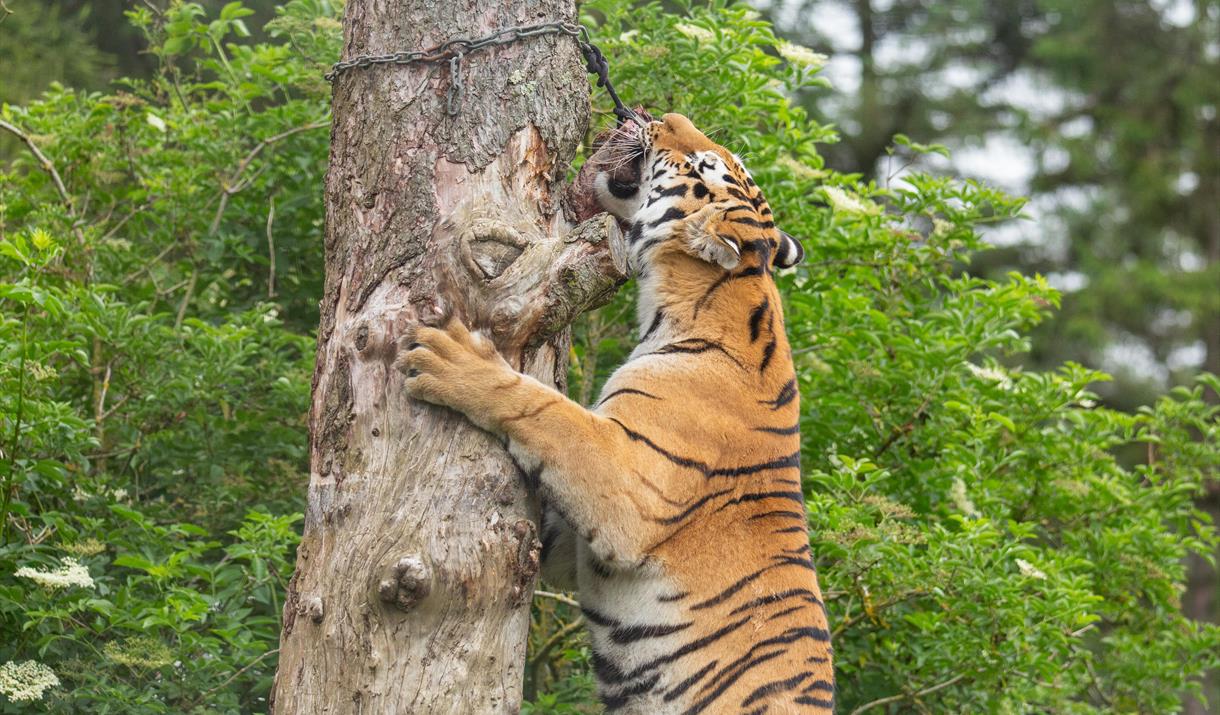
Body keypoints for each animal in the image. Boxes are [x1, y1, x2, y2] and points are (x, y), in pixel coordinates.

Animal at [399, 111, 833, 714]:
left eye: (703, 164)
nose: (662, 114)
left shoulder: (631, 485)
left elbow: (546, 412)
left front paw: (453, 361)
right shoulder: (572, 542)